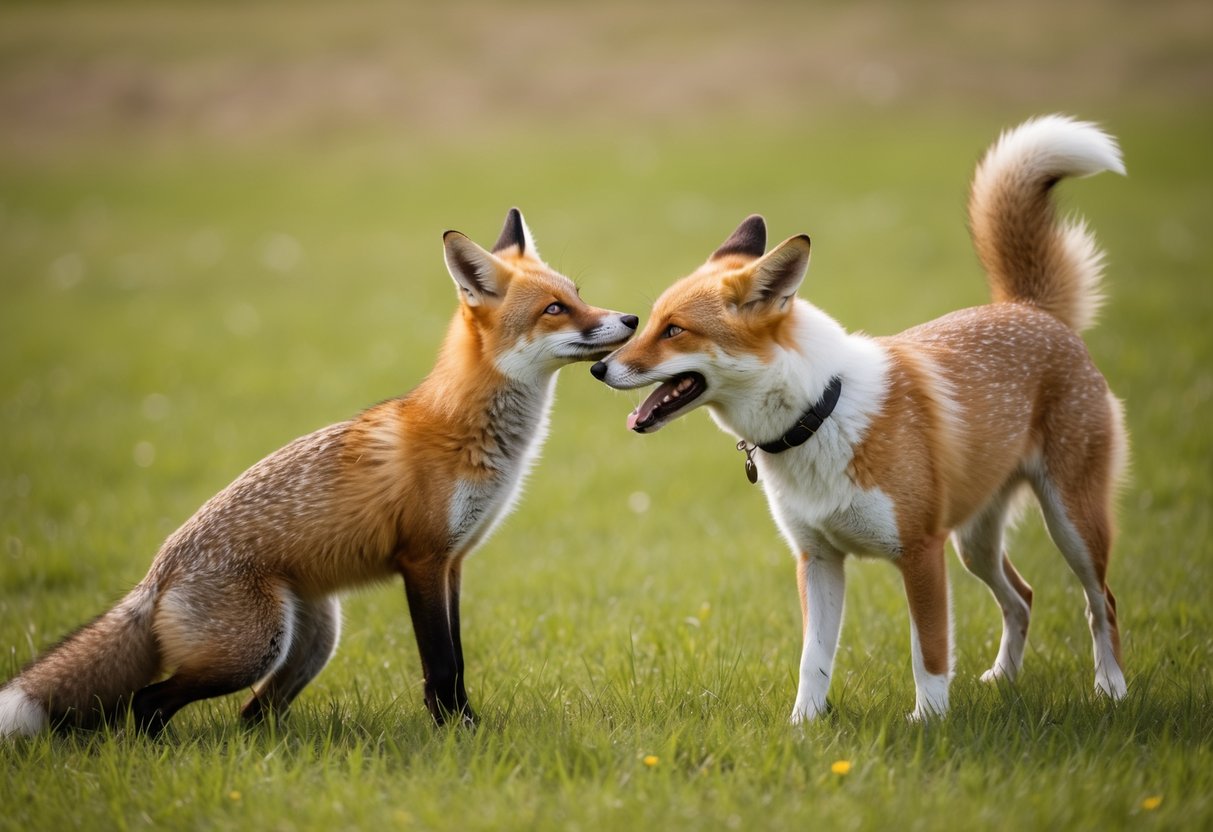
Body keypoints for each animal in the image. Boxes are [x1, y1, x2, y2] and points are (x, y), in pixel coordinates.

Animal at [0, 208, 637, 738]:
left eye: (578, 295)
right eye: (555, 309)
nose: (630, 317)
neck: (468, 430)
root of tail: (157, 572)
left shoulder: (454, 561)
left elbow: (455, 660)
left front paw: (465, 727)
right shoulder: (423, 560)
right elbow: (440, 665)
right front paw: (459, 735)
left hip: (311, 643)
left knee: (250, 713)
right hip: (254, 648)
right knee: (147, 701)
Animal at [591, 115, 1129, 721]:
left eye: (674, 330)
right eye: (651, 322)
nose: (600, 367)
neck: (821, 415)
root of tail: (1028, 308)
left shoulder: (920, 553)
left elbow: (929, 655)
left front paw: (928, 724)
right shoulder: (818, 559)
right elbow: (813, 661)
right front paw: (802, 726)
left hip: (1069, 524)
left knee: (1101, 603)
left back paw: (1111, 688)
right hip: (974, 544)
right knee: (1024, 597)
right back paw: (1004, 679)